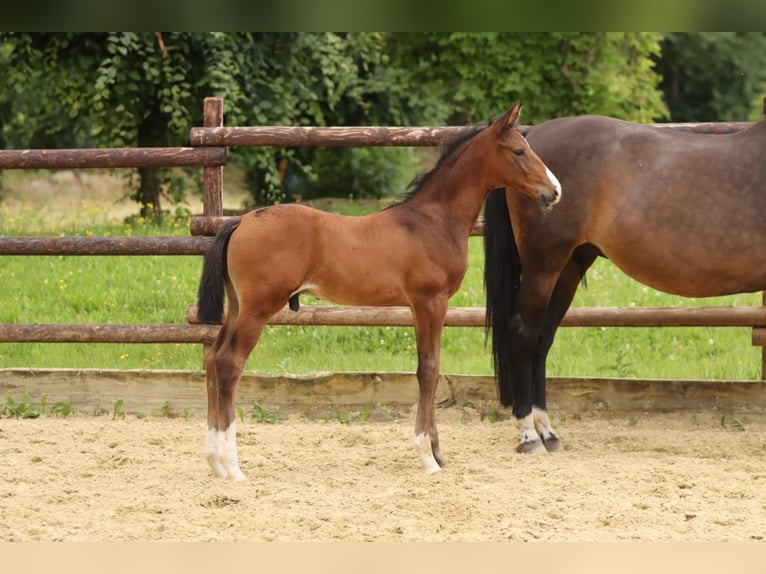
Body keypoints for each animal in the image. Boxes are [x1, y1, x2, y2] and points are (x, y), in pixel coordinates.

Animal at [196, 103, 564, 482]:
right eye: (519, 151)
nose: (555, 191)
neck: (432, 222)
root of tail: (240, 221)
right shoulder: (430, 302)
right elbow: (428, 371)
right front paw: (427, 456)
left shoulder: (419, 307)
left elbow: (430, 369)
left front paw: (438, 453)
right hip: (257, 309)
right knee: (229, 363)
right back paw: (232, 466)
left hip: (236, 307)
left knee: (211, 359)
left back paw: (215, 462)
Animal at [486, 112, 766, 454]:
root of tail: (530, 135)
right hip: (543, 264)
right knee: (523, 334)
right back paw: (529, 436)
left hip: (569, 267)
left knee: (542, 338)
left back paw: (548, 433)